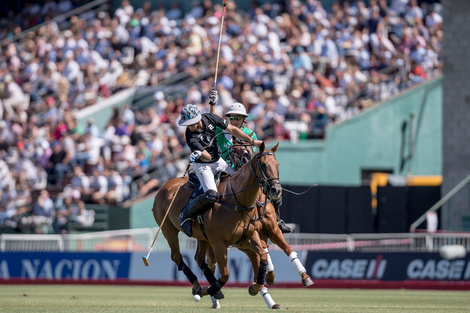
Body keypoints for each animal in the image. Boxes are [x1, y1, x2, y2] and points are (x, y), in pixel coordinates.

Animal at [152, 142, 280, 302]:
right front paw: (210, 289)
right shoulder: (219, 243)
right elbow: (225, 274)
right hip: (168, 230)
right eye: (263, 164)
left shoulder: (248, 237)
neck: (237, 201)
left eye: (277, 164)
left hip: (202, 236)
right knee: (177, 256)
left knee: (199, 258)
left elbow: (262, 255)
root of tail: (162, 187)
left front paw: (256, 286)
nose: (276, 190)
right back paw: (199, 286)